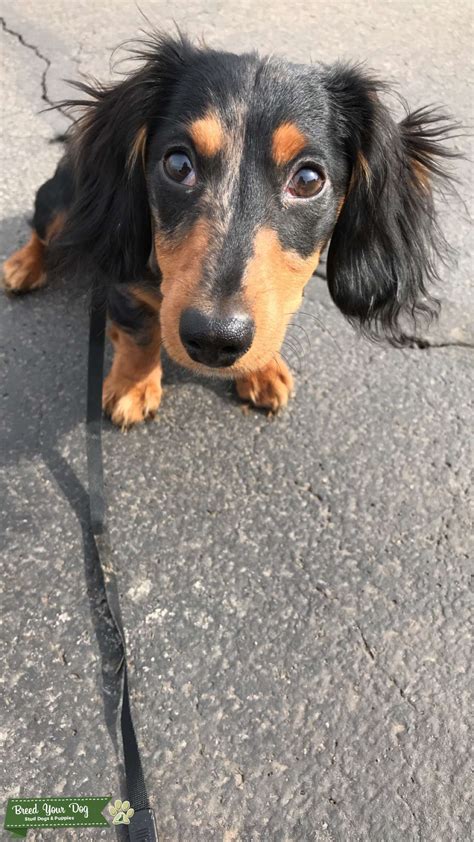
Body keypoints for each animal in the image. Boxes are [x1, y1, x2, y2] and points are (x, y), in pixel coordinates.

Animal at [2, 32, 456, 426]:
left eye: (309, 180)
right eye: (177, 164)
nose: (215, 340)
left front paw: (263, 369)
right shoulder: (123, 280)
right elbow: (139, 332)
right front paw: (133, 386)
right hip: (61, 201)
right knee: (42, 229)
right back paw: (22, 266)